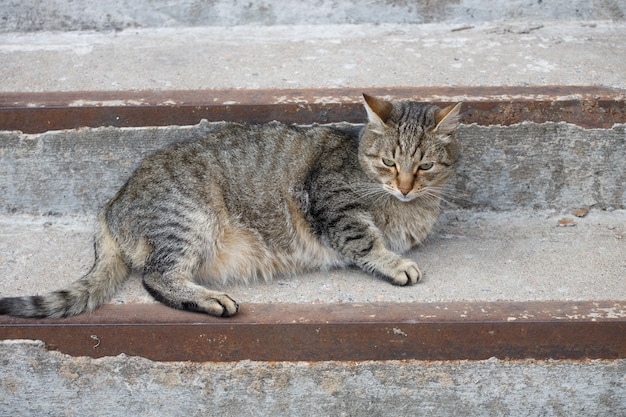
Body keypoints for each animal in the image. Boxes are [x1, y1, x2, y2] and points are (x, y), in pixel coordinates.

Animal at [0, 93, 458, 316]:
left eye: (425, 166)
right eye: (389, 163)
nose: (404, 187)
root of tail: (112, 202)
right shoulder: (331, 203)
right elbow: (366, 239)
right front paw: (394, 264)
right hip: (188, 219)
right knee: (156, 277)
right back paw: (210, 300)